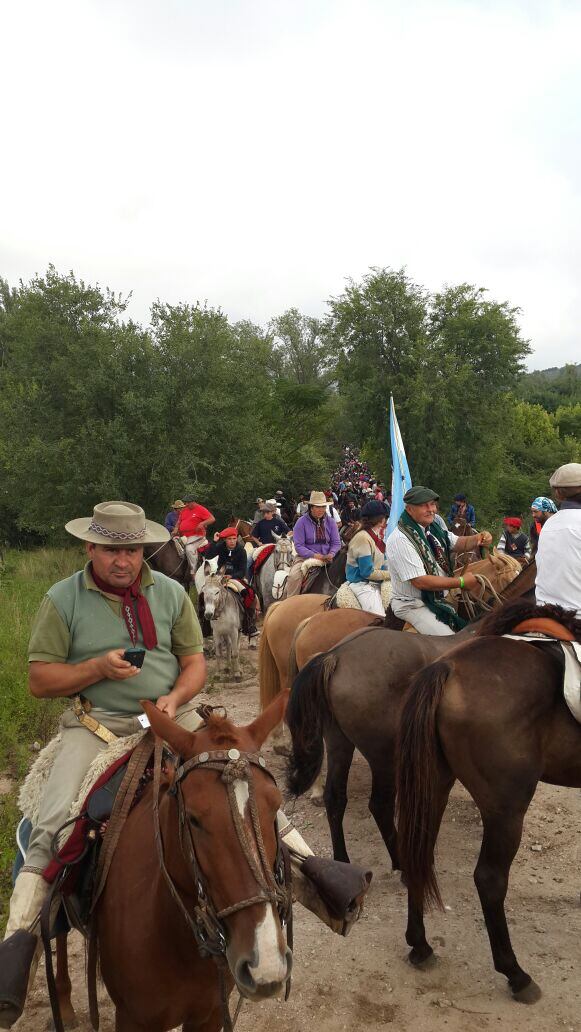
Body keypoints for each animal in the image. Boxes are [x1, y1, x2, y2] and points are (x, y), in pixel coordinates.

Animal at [396, 602, 581, 1003]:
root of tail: (446, 668)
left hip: (435, 783)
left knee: (420, 852)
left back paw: (420, 945)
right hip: (506, 808)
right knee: (490, 879)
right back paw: (516, 974)